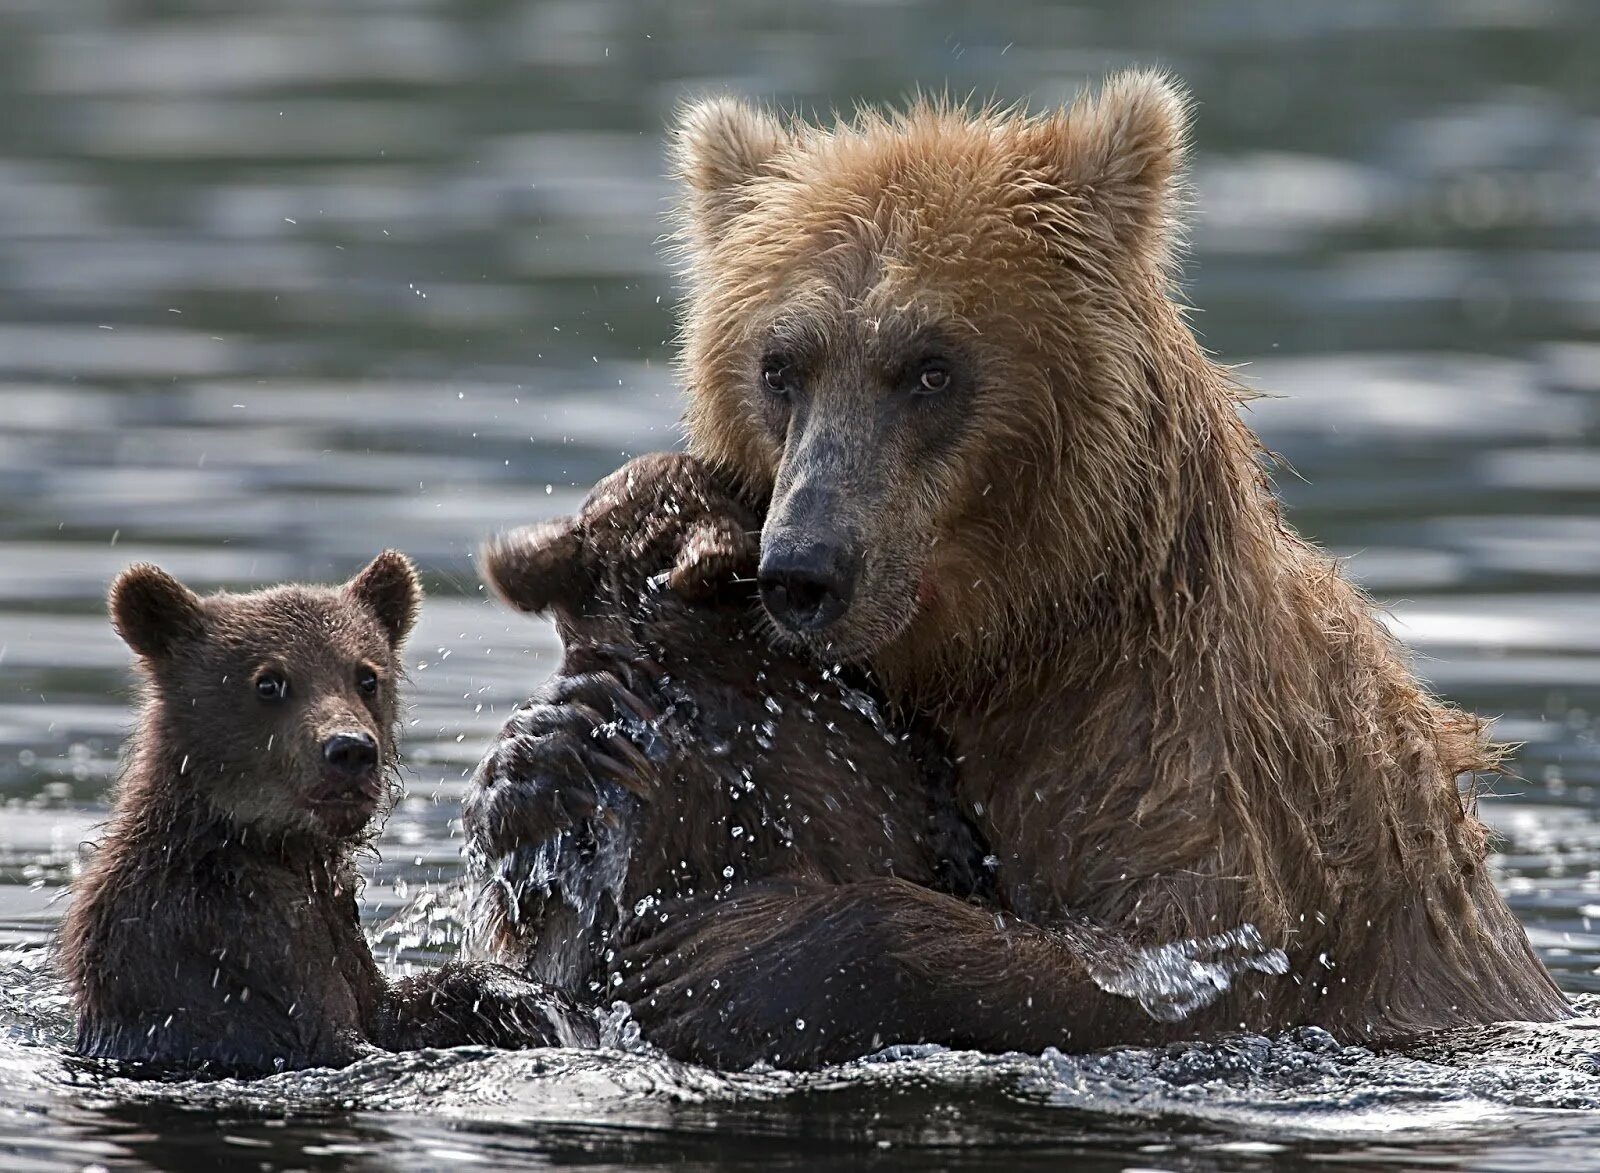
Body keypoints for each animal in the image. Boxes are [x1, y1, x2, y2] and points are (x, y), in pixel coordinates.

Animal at [604, 73, 1568, 1062]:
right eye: (779, 365)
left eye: (930, 367)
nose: (804, 567)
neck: (1031, 639)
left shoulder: (1201, 761)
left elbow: (1170, 969)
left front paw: (721, 957)